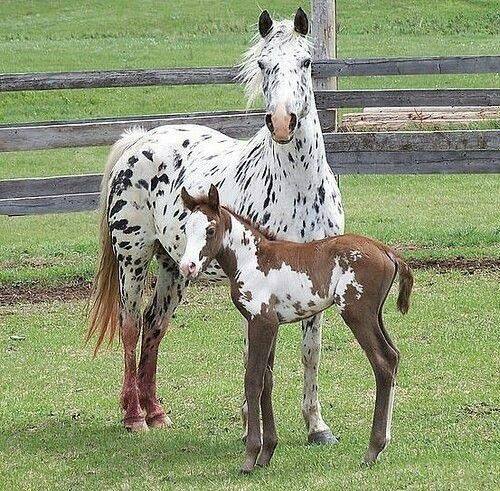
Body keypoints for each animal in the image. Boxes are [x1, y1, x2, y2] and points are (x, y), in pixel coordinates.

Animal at [180, 185, 414, 472]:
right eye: (186, 228)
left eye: (210, 230)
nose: (187, 266)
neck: (251, 259)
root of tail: (386, 251)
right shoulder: (271, 326)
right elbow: (267, 381)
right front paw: (267, 453)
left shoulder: (260, 323)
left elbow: (253, 380)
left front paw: (250, 456)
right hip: (375, 315)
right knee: (393, 356)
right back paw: (383, 445)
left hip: (357, 314)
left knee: (382, 362)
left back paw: (373, 449)